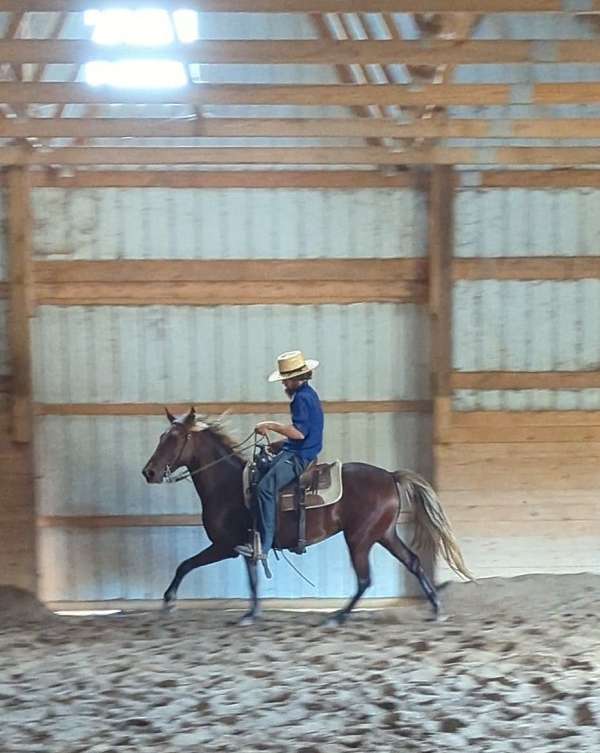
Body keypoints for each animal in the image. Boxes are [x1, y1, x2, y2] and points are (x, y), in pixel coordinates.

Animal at [142, 406, 474, 624]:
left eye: (174, 439)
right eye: (160, 437)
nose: (149, 472)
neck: (227, 484)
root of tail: (391, 476)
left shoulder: (225, 546)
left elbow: (185, 565)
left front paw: (169, 601)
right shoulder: (248, 547)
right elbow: (251, 579)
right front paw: (251, 613)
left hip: (360, 538)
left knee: (365, 578)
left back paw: (339, 616)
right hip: (384, 534)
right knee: (413, 562)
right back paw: (435, 608)